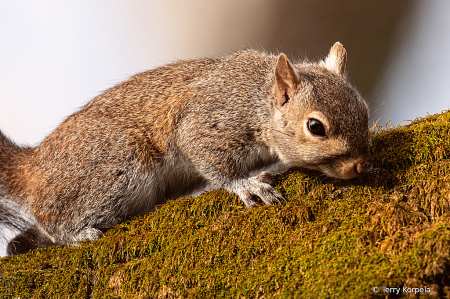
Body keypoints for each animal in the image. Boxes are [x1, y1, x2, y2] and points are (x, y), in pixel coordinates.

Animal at [0, 42, 372, 256]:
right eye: (315, 127)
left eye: (365, 110)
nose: (361, 167)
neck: (257, 100)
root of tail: (33, 166)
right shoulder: (209, 122)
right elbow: (212, 161)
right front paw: (246, 185)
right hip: (116, 164)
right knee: (52, 218)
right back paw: (75, 234)